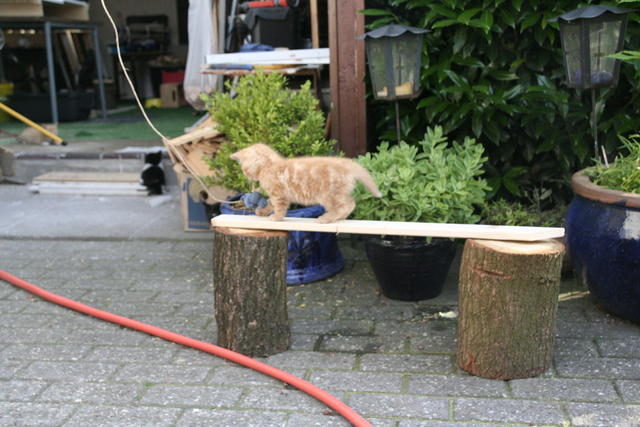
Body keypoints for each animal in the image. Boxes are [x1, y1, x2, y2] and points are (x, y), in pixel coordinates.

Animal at [230, 143, 382, 223]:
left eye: (244, 169)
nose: (247, 177)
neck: (269, 165)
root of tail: (347, 164)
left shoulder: (279, 194)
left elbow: (278, 207)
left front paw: (276, 218)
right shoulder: (278, 195)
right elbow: (270, 203)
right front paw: (262, 211)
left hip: (328, 195)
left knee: (346, 205)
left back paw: (326, 218)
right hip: (338, 193)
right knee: (350, 204)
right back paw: (339, 218)